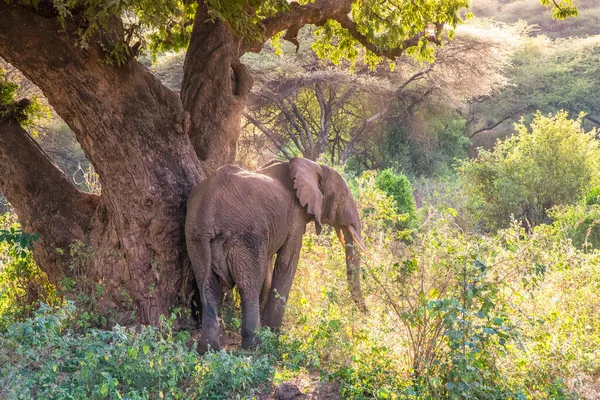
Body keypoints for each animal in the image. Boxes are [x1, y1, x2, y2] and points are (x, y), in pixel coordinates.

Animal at [185, 158, 368, 352]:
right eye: (343, 196)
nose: (366, 315)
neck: (314, 166)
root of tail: (208, 209)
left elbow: (268, 265)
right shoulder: (295, 217)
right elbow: (286, 263)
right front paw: (273, 333)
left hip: (195, 237)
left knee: (208, 286)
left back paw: (208, 348)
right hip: (245, 235)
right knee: (249, 286)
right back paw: (255, 346)